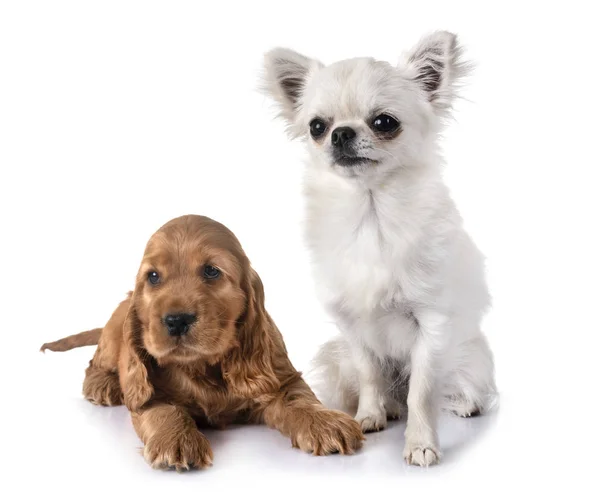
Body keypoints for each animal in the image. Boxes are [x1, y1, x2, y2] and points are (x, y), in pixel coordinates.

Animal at [42, 215, 364, 470]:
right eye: (153, 276)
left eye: (211, 271)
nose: (176, 320)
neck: (203, 365)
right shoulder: (151, 390)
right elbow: (165, 410)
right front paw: (176, 441)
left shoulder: (280, 376)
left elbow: (298, 398)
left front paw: (325, 423)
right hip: (112, 335)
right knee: (95, 364)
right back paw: (104, 385)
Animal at [264, 31, 496, 466]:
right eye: (317, 127)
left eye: (385, 122)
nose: (340, 133)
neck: (370, 216)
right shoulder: (353, 328)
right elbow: (370, 374)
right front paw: (369, 415)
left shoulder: (431, 325)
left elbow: (422, 391)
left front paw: (420, 444)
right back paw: (387, 407)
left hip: (471, 357)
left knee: (460, 386)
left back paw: (463, 403)